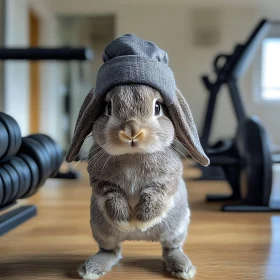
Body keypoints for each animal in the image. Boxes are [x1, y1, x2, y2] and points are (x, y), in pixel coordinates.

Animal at [66, 34, 209, 278]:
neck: (132, 155)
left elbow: (156, 196)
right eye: (108, 107)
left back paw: (182, 268)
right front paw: (127, 222)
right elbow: (112, 198)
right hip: (101, 229)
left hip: (177, 227)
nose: (131, 131)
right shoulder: (102, 183)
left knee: (170, 247)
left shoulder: (166, 181)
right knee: (112, 250)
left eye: (158, 107)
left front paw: (141, 222)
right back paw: (93, 268)